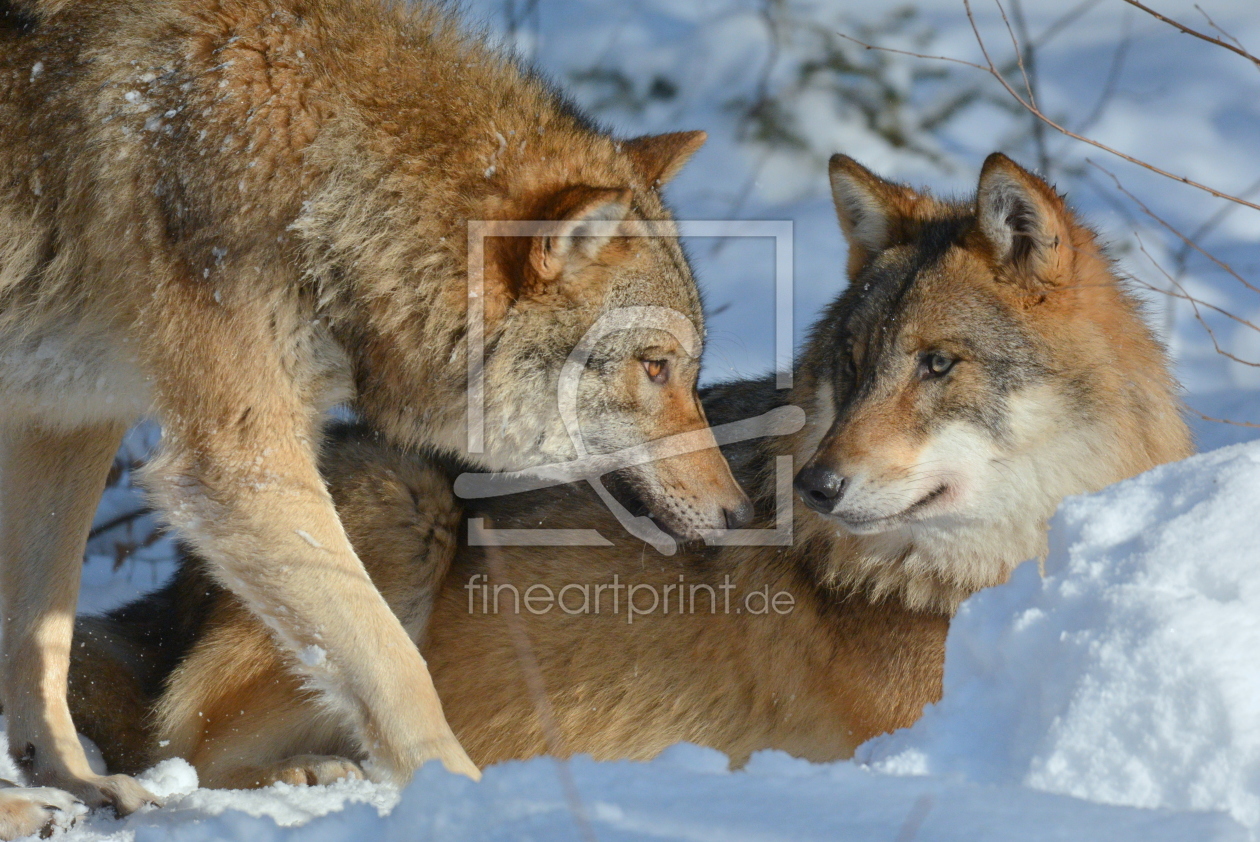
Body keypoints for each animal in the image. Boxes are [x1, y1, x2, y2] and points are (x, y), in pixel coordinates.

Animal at [0, 0, 745, 826]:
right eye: (656, 366)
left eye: (689, 370)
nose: (742, 513)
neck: (324, 181)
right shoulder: (238, 464)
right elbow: (395, 663)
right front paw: (467, 799)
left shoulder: (69, 418)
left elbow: (40, 635)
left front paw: (73, 780)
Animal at [61, 153, 1189, 791]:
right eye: (852, 365)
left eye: (938, 364)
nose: (813, 488)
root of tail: (172, 593)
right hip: (403, 510)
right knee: (184, 748)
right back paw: (325, 775)